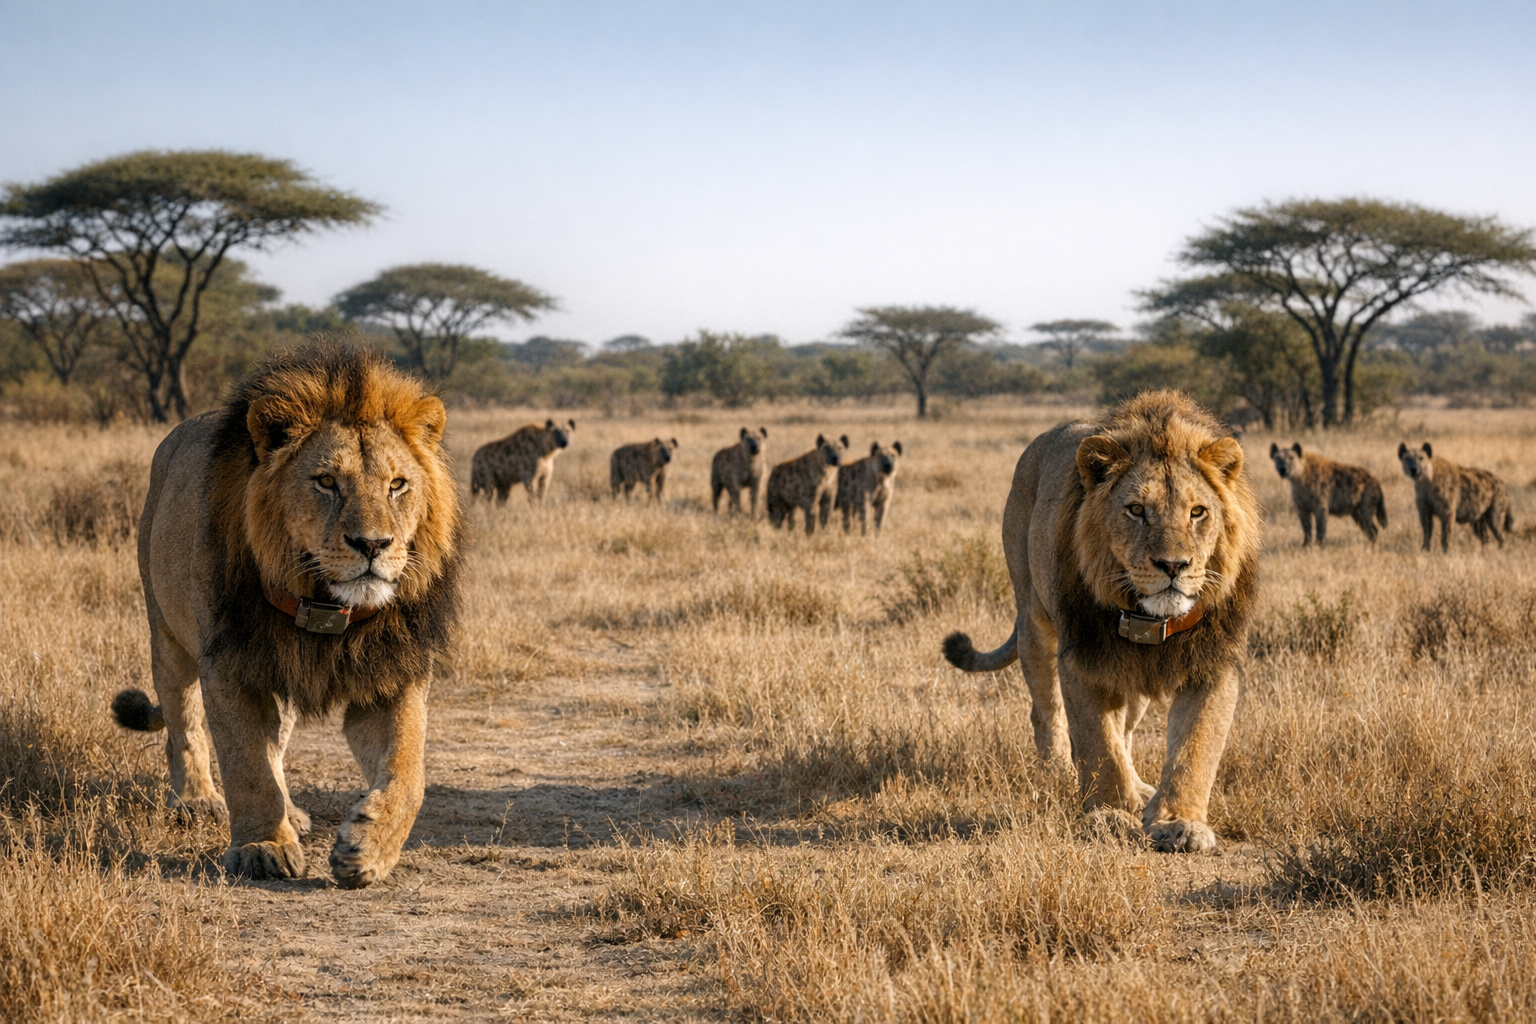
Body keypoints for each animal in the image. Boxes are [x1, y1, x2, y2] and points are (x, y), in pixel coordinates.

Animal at [110, 343, 464, 887]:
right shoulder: (229, 664)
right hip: (166, 631)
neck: (328, 604)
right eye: (326, 482)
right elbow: (245, 763)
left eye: (398, 485)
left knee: (275, 739)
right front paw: (262, 847)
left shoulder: (390, 674)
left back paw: (293, 815)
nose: (373, 545)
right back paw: (197, 801)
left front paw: (369, 846)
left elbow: (409, 770)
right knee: (183, 722)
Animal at [942, 390, 1258, 853]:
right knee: (1046, 711)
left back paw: (1141, 789)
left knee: (1126, 729)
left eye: (1198, 512)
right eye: (1136, 510)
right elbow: (1099, 745)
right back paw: (1058, 774)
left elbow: (1195, 748)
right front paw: (1108, 815)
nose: (1173, 565)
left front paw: (1179, 821)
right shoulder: (1084, 656)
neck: (1151, 617)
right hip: (1033, 621)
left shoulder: (1212, 663)